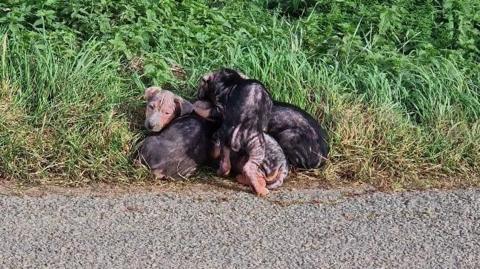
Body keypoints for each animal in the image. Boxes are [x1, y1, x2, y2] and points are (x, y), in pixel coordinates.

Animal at [197, 68, 274, 196]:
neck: (230, 79)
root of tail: (238, 130)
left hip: (227, 140)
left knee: (225, 162)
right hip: (258, 145)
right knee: (249, 168)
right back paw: (261, 190)